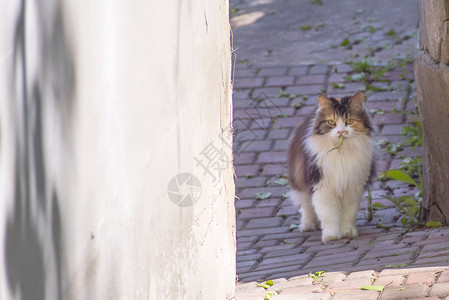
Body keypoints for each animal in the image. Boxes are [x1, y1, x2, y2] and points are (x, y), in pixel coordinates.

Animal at [288, 92, 374, 245]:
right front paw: (331, 236)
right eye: (331, 123)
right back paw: (308, 225)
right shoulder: (322, 187)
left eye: (349, 121)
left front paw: (348, 232)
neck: (341, 151)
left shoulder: (352, 187)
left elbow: (348, 214)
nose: (341, 132)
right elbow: (328, 215)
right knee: (306, 205)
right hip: (300, 180)